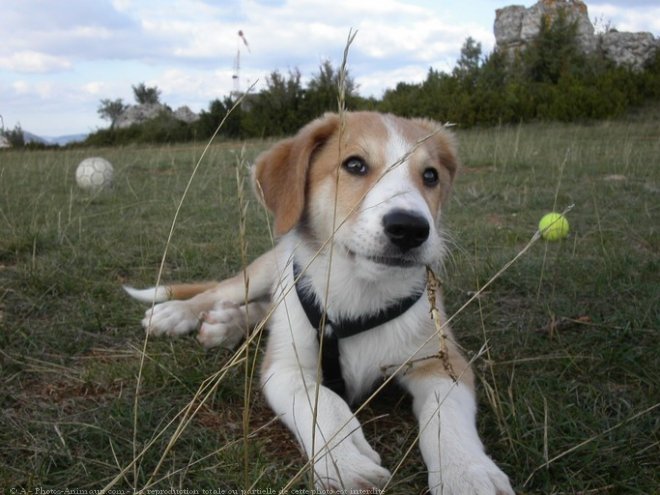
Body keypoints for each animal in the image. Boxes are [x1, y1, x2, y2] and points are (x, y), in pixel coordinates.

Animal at [125, 113, 516, 495]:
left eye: (430, 175)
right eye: (355, 165)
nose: (410, 228)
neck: (359, 292)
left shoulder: (442, 362)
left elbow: (444, 413)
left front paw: (468, 474)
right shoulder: (285, 368)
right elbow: (321, 401)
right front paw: (346, 458)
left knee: (264, 311)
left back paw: (225, 324)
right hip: (264, 272)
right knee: (224, 291)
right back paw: (177, 314)